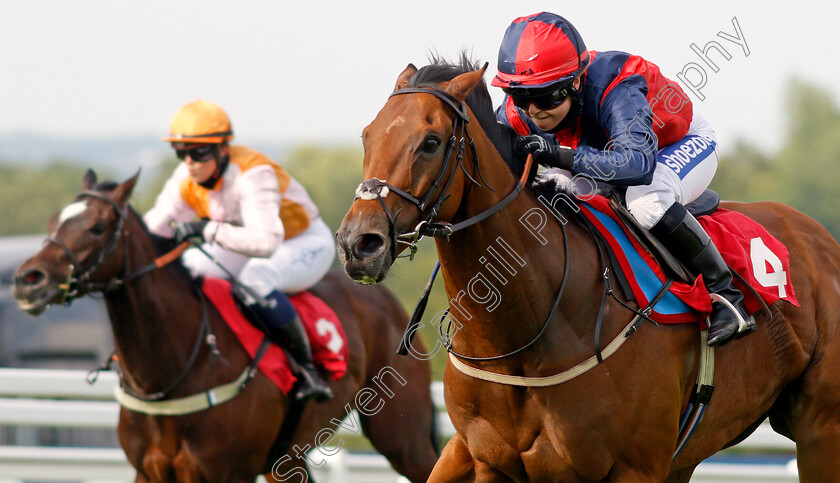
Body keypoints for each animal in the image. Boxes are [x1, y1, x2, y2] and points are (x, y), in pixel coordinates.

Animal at [13, 171, 440, 483]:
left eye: (97, 228)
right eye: (54, 221)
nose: (27, 279)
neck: (173, 372)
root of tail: (385, 298)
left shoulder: (226, 473)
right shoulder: (148, 473)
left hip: (402, 435)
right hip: (290, 458)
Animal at [338, 57, 840, 483]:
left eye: (431, 142)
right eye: (366, 135)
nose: (358, 243)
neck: (524, 338)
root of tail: (821, 237)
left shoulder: (636, 467)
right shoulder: (474, 456)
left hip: (819, 430)